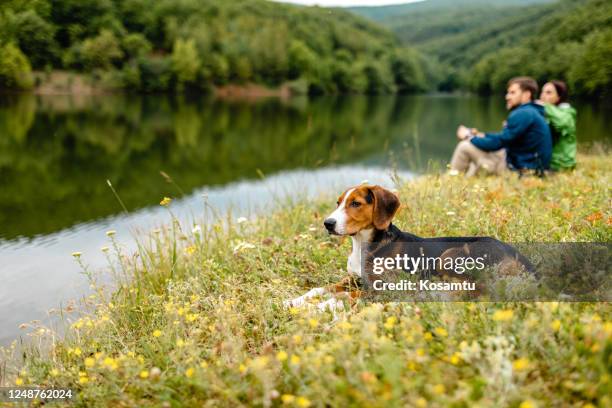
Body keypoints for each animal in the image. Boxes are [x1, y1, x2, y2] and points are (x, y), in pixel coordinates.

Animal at [284, 184, 532, 310]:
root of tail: (521, 257)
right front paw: (294, 301)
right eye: (338, 203)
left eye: (355, 203)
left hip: (449, 256)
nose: (328, 224)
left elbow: (346, 296)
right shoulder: (354, 278)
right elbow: (319, 289)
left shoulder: (382, 287)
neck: (363, 245)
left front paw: (320, 308)